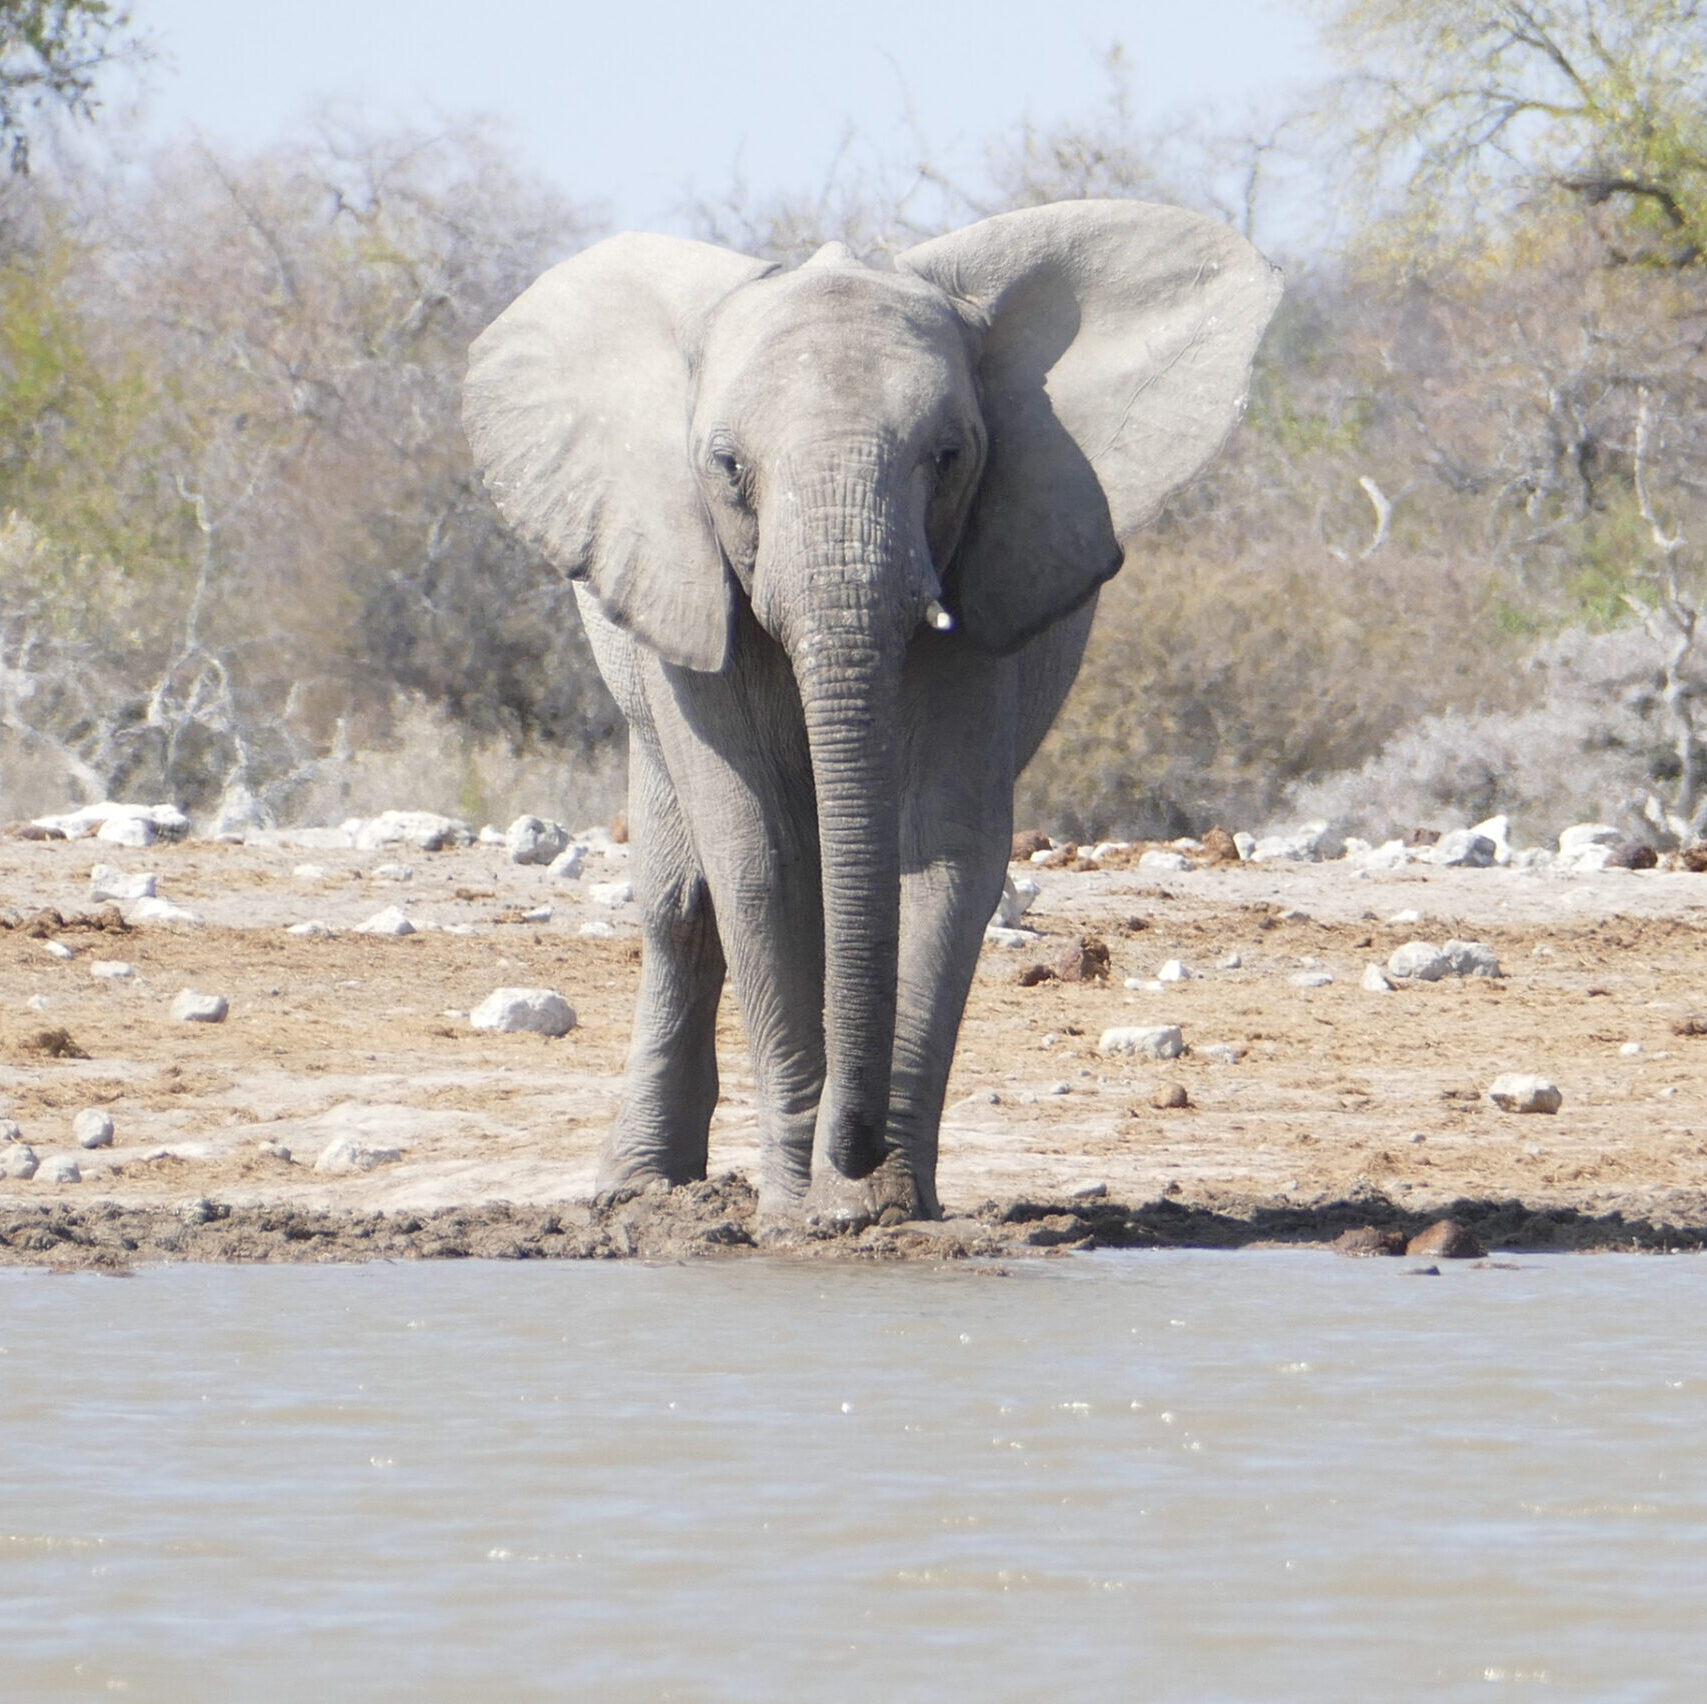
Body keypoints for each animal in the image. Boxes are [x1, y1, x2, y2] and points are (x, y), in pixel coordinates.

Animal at [467, 203, 1283, 1229]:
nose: (847, 1152)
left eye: (949, 457)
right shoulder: (691, 570)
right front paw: (796, 1210)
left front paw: (876, 1206)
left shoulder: (983, 569)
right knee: (681, 905)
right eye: (725, 468)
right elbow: (760, 859)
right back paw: (642, 1188)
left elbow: (940, 844)